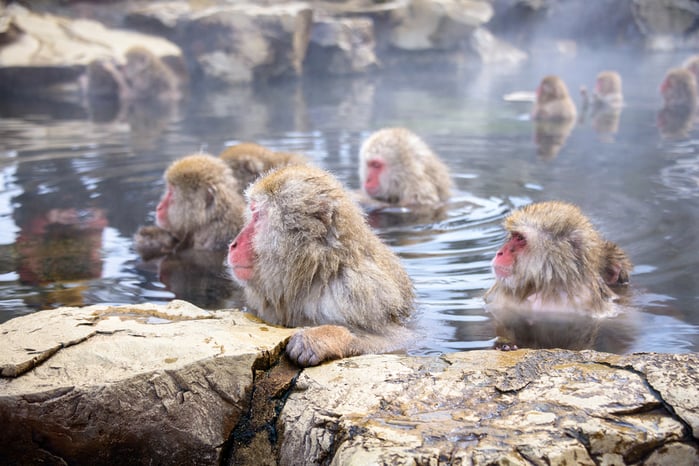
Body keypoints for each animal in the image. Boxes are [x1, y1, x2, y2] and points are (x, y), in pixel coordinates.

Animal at [228, 165, 416, 368]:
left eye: (257, 216)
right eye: (253, 213)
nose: (233, 245)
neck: (319, 269)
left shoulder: (358, 293)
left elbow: (401, 339)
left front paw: (321, 338)